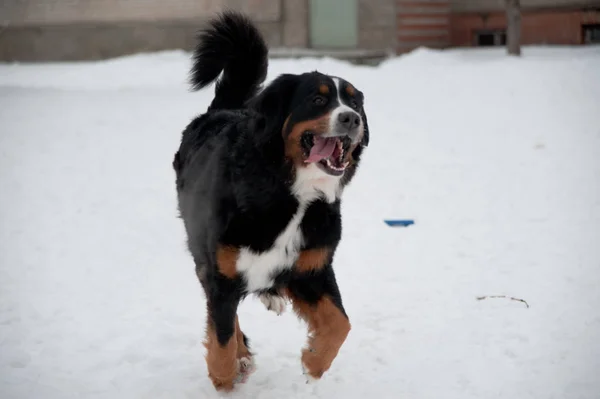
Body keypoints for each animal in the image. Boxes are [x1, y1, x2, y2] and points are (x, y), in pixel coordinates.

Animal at [171, 10, 370, 392]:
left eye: (354, 103)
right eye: (318, 100)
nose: (352, 118)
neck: (291, 194)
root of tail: (223, 111)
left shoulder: (313, 267)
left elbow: (341, 323)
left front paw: (313, 362)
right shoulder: (221, 271)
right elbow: (221, 336)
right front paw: (226, 376)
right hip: (202, 253)